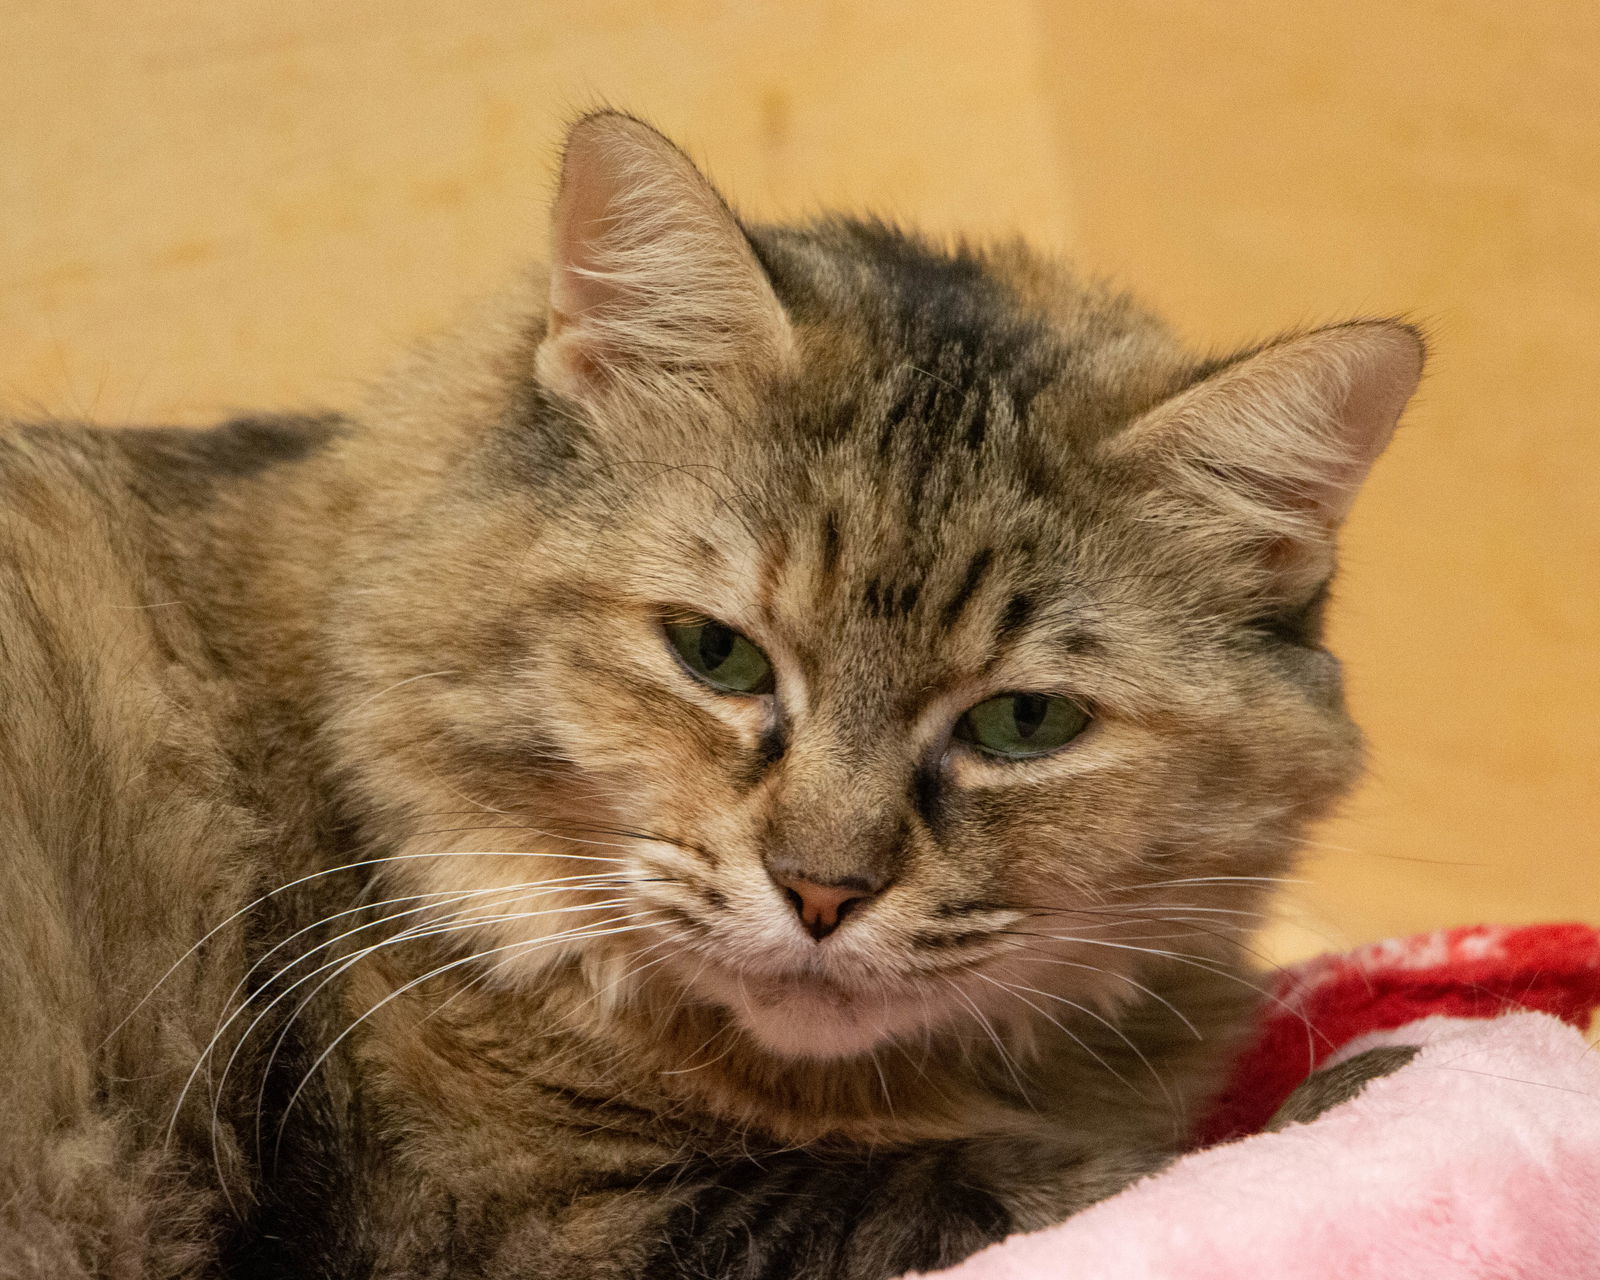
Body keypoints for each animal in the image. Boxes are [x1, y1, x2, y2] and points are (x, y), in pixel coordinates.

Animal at [0, 112, 1427, 1280]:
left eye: (1023, 723)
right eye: (716, 654)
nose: (822, 892)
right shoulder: (521, 1219)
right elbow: (1044, 1184)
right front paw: (1364, 1080)